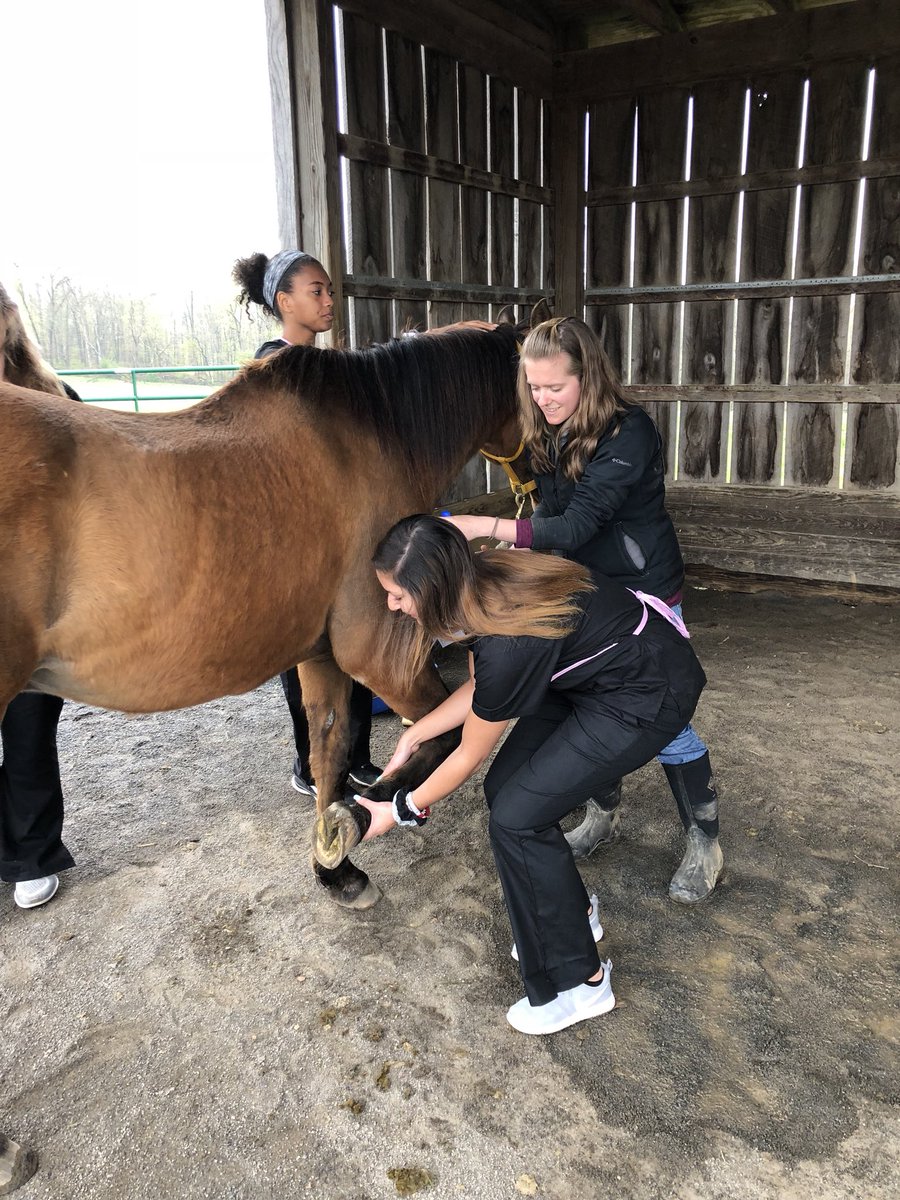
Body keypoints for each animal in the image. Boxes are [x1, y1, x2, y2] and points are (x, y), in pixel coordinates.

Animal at [0, 309, 525, 910]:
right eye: (536, 388)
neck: (371, 435)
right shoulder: (378, 654)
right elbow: (439, 735)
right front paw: (357, 820)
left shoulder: (321, 656)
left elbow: (328, 749)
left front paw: (336, 869)